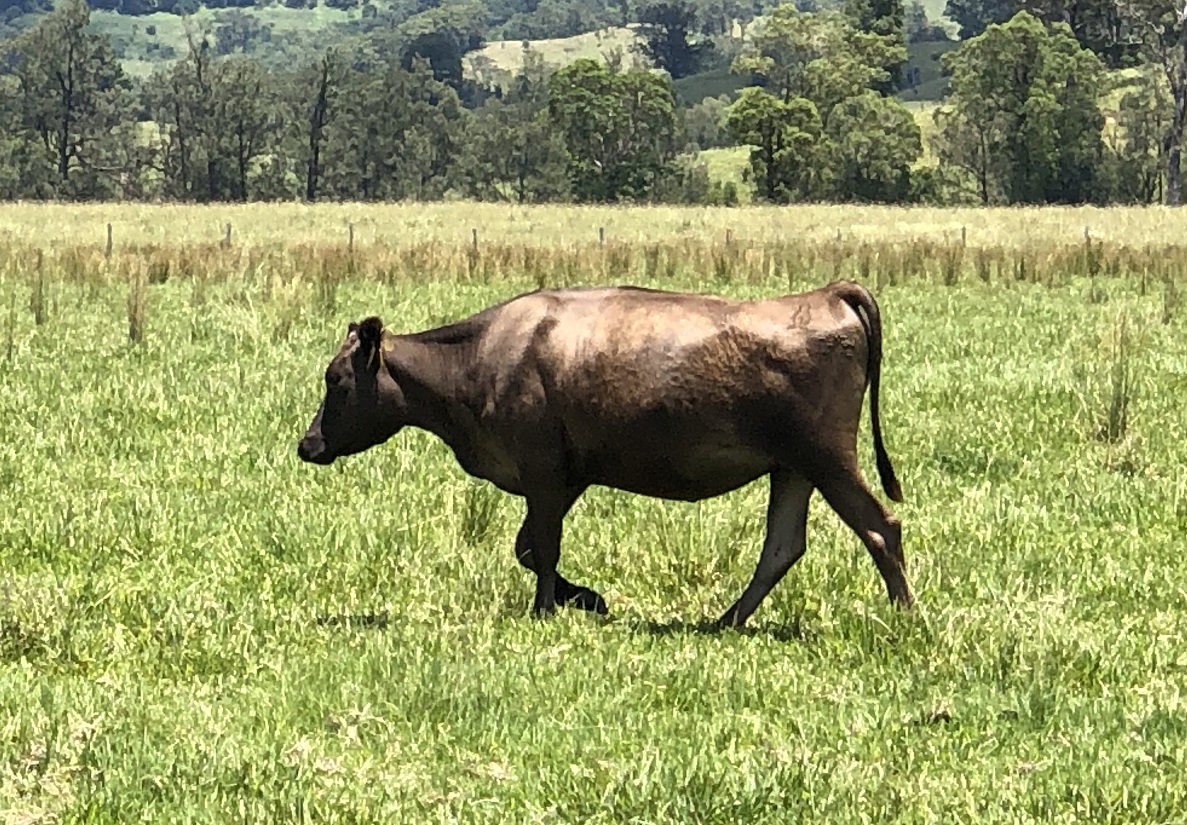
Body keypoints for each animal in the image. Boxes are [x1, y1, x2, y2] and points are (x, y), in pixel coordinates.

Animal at [296, 279, 914, 628]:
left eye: (336, 380)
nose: (308, 444)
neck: (479, 359)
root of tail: (827, 293)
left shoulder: (544, 471)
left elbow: (541, 548)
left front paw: (548, 609)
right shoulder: (567, 476)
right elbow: (528, 547)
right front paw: (588, 600)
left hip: (827, 457)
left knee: (880, 526)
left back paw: (905, 615)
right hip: (792, 468)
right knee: (782, 547)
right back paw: (725, 620)